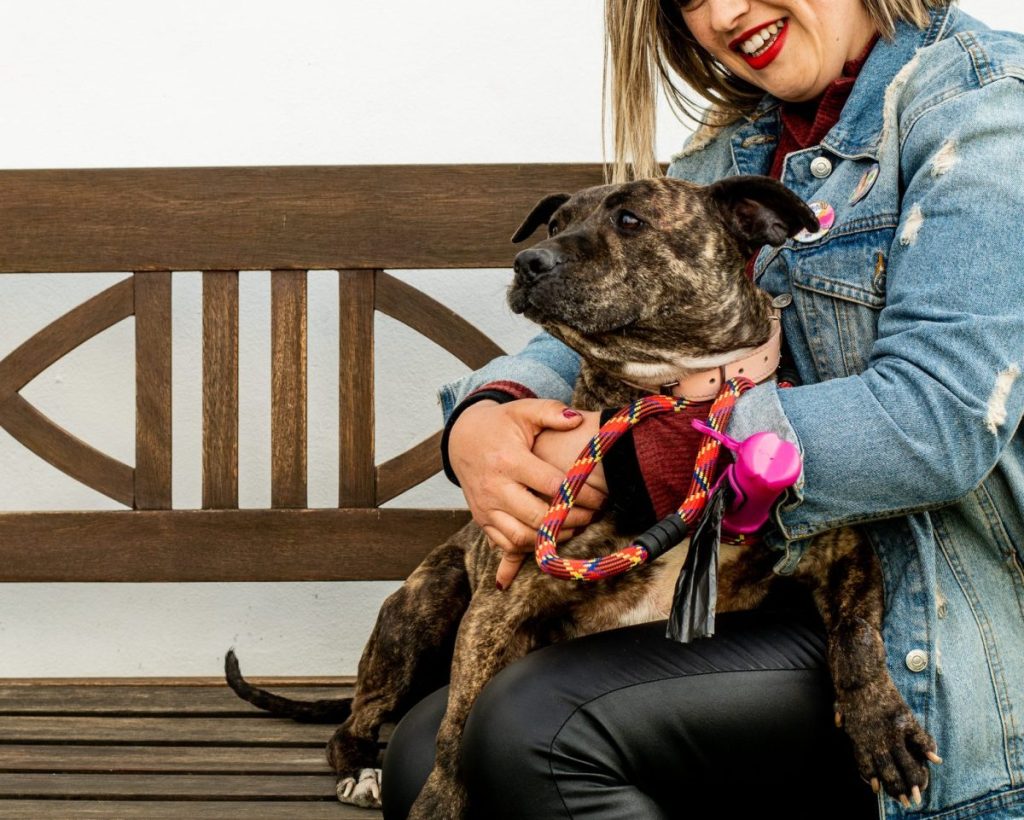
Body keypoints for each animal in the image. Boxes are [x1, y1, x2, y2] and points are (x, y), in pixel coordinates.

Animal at [228, 173, 937, 810]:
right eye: (554, 222)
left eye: (629, 219)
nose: (527, 260)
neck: (671, 396)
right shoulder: (497, 609)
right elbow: (457, 730)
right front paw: (438, 802)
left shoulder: (841, 549)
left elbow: (858, 634)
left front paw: (881, 724)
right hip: (424, 612)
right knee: (357, 719)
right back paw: (359, 768)